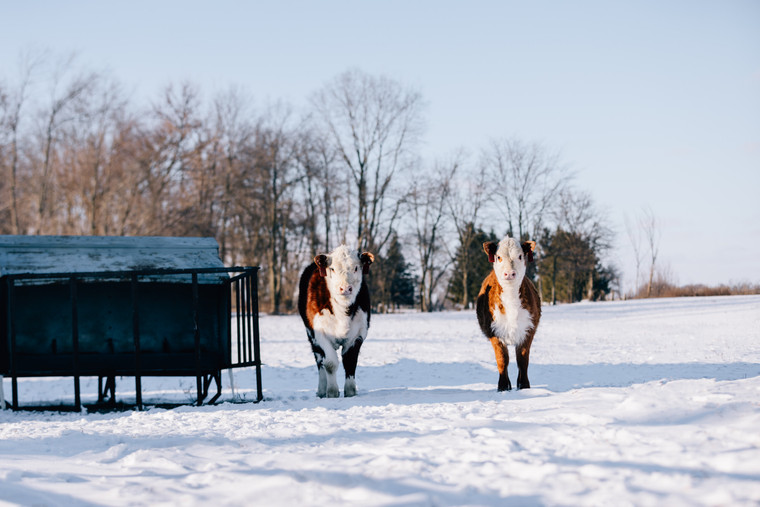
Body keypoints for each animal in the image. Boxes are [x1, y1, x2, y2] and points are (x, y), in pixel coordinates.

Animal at [296, 245, 374, 396]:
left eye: (356, 267)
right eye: (332, 269)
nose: (345, 288)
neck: (343, 311)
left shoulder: (359, 333)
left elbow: (350, 361)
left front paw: (350, 392)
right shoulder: (319, 333)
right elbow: (330, 363)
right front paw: (332, 392)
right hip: (311, 338)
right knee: (320, 361)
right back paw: (321, 390)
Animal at [476, 238, 540, 392]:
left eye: (520, 256)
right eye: (498, 257)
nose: (509, 273)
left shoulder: (528, 330)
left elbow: (522, 360)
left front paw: (524, 386)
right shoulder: (494, 331)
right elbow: (502, 360)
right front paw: (503, 387)